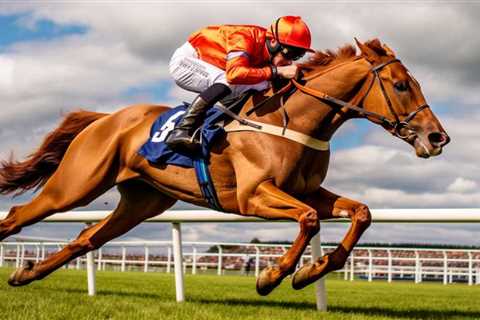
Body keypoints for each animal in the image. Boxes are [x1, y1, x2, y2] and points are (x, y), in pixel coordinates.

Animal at [0, 38, 450, 296]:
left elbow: (360, 212)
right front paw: (272, 276)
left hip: (141, 201)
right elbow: (307, 220)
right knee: (18, 217)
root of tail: (106, 119)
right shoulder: (254, 196)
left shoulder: (307, 191)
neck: (291, 120)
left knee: (86, 239)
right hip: (76, 185)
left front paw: (310, 273)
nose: (437, 138)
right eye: (401, 85)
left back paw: (26, 274)